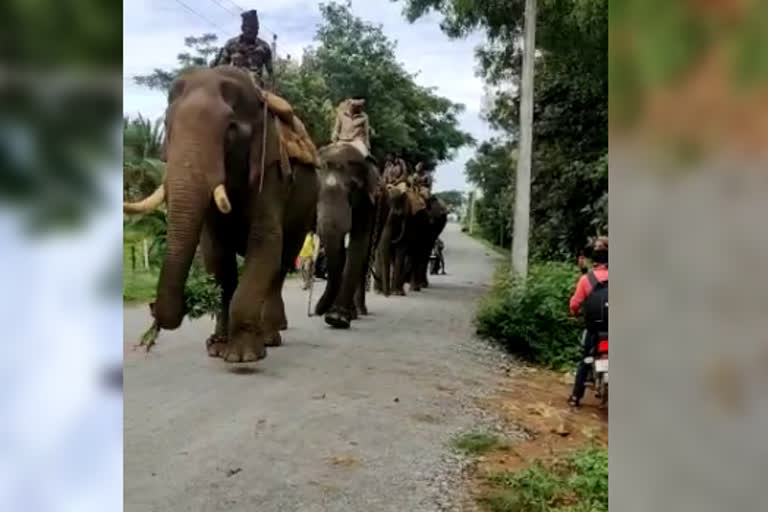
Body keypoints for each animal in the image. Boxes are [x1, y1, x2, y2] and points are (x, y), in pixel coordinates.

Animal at [122, 66, 318, 364]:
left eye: (231, 130)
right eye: (166, 125)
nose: (152, 307)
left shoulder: (270, 172)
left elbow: (265, 243)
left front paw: (243, 356)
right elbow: (216, 256)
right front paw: (217, 348)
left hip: (306, 207)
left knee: (283, 262)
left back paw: (271, 336)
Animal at [312, 142, 380, 330]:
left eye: (352, 187)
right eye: (316, 187)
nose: (317, 311)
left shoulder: (367, 200)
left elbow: (358, 244)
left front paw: (336, 318)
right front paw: (330, 314)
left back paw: (356, 312)